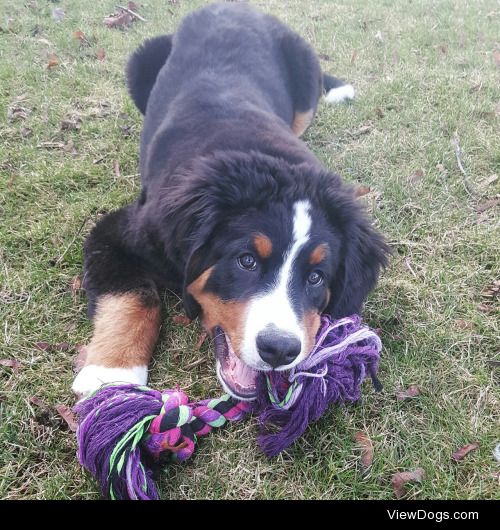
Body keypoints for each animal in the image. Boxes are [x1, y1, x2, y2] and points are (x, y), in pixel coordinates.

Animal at [72, 3, 388, 400]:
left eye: (316, 277)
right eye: (246, 261)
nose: (279, 349)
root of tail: (233, 7)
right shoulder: (120, 232)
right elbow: (132, 296)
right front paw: (112, 374)